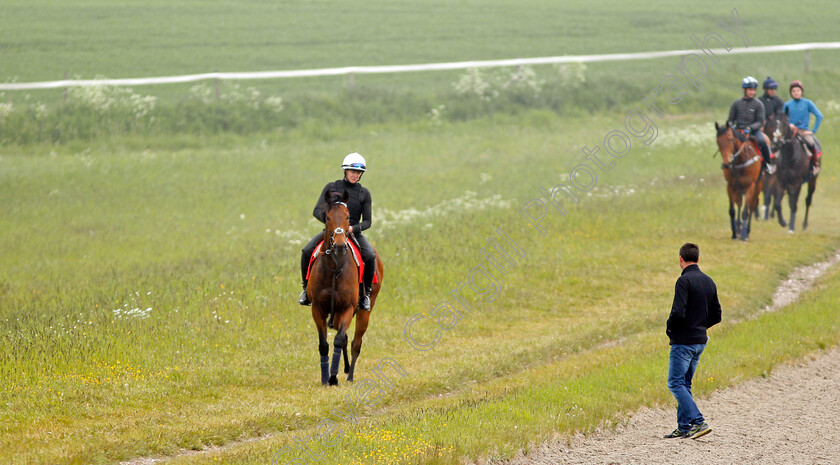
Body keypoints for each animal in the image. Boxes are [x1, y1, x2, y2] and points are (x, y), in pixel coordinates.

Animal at [306, 188, 384, 384]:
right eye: (327, 217)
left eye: (348, 216)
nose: (340, 245)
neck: (335, 267)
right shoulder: (317, 308)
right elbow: (324, 344)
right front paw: (325, 378)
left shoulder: (348, 307)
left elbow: (339, 339)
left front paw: (333, 378)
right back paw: (346, 368)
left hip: (364, 311)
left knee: (356, 342)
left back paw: (350, 376)